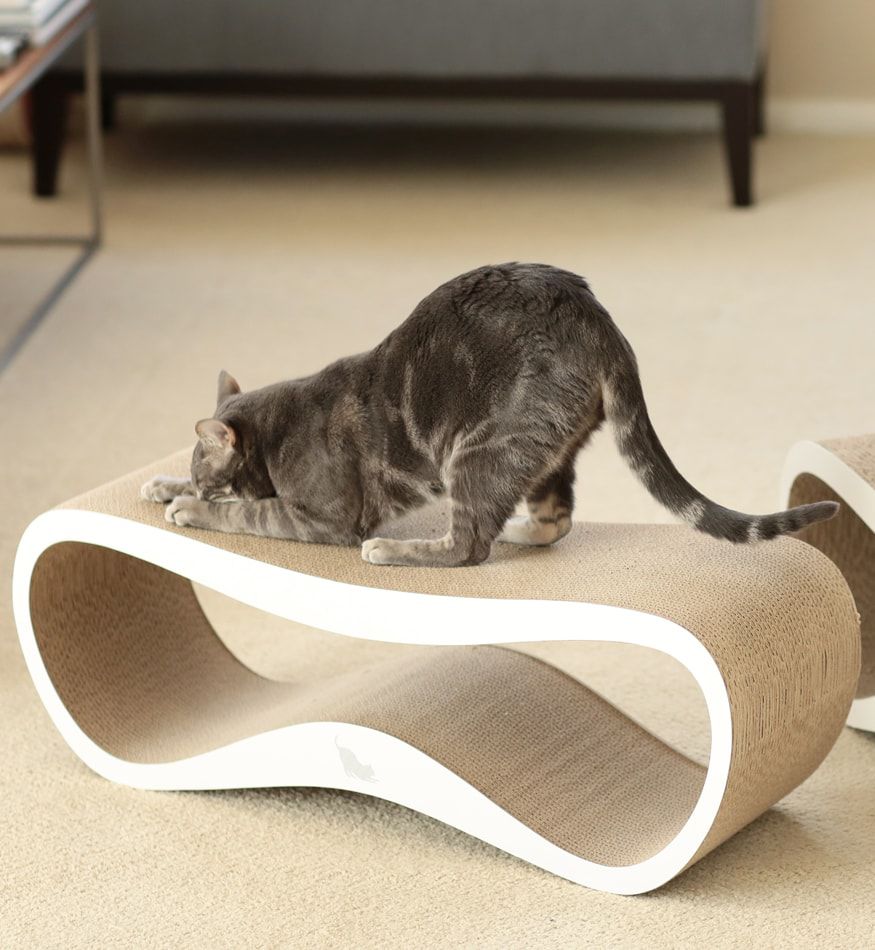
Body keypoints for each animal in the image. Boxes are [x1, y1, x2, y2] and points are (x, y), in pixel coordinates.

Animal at [141, 263, 838, 567]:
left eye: (208, 475)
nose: (195, 484)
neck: (279, 427)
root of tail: (598, 320)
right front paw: (161, 484)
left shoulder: (322, 517)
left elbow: (246, 512)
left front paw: (192, 505)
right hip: (542, 453)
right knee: (552, 522)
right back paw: (518, 531)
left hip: (476, 449)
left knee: (466, 546)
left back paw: (394, 549)